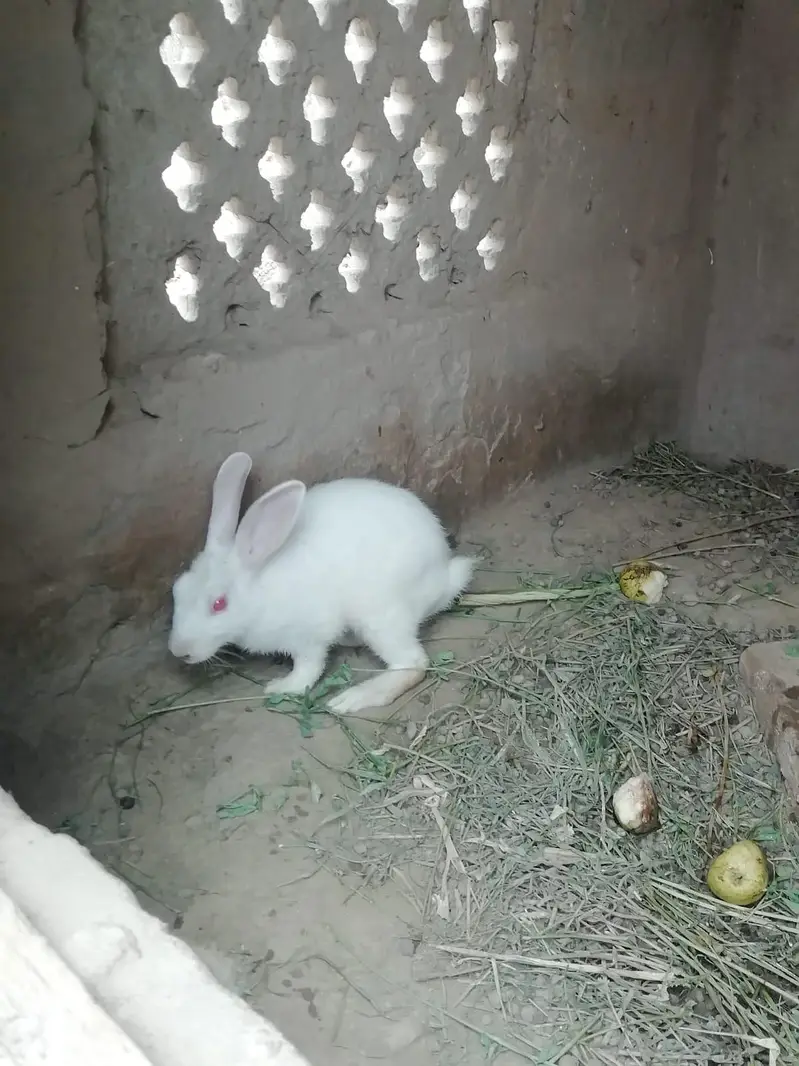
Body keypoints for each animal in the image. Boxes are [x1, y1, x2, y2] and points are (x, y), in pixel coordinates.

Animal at [168, 452, 475, 715]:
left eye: (219, 603)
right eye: (177, 590)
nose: (178, 651)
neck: (259, 591)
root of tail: (444, 574)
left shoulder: (308, 636)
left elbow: (308, 669)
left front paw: (280, 687)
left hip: (379, 615)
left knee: (413, 663)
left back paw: (352, 698)